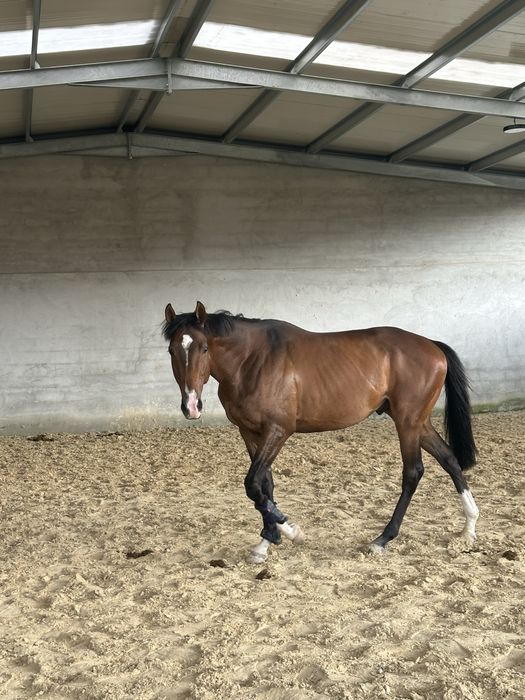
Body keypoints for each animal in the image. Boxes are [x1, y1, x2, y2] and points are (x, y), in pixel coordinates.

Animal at [163, 301, 479, 563]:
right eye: (172, 350)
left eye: (204, 348)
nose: (191, 406)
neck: (252, 361)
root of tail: (432, 346)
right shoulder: (250, 433)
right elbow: (264, 486)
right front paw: (266, 542)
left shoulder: (278, 431)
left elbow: (252, 484)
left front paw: (289, 530)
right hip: (417, 422)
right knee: (449, 459)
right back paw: (469, 527)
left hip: (408, 422)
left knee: (413, 472)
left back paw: (382, 539)